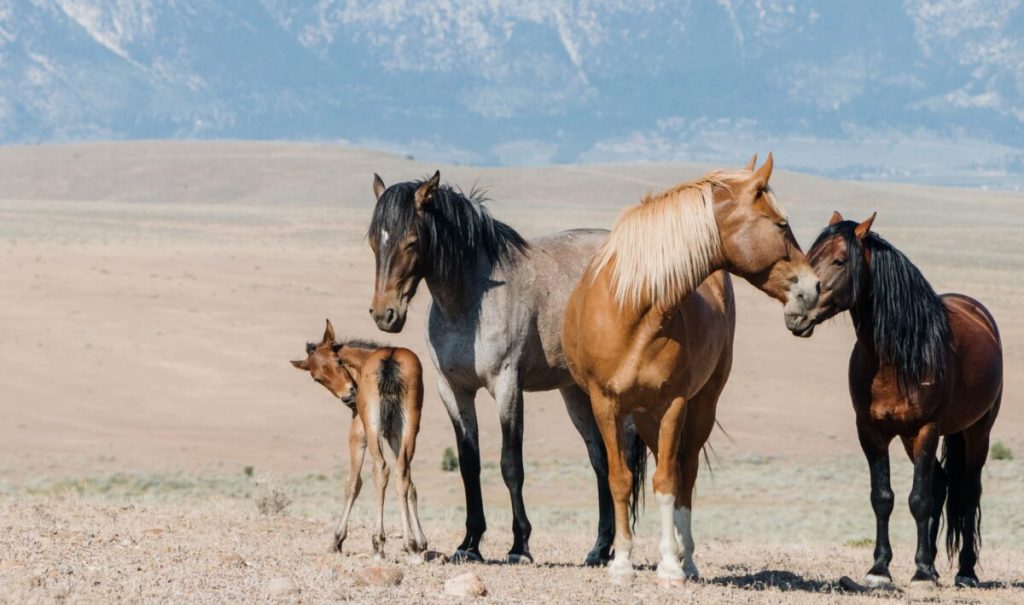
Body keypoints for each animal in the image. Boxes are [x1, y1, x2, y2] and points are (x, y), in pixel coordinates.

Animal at [292, 321, 428, 565]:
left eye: (338, 361)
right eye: (318, 378)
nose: (349, 396)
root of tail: (389, 361)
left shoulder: (358, 433)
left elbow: (353, 484)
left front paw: (337, 540)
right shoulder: (393, 435)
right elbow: (409, 483)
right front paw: (420, 542)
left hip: (372, 428)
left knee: (380, 470)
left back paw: (378, 544)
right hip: (409, 425)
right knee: (400, 473)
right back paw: (410, 546)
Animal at [364, 171, 643, 569]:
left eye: (412, 242)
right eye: (375, 241)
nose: (384, 315)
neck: (468, 304)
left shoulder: (507, 386)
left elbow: (511, 464)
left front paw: (519, 545)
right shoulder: (453, 391)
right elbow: (469, 464)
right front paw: (470, 543)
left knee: (625, 459)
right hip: (574, 392)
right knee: (601, 460)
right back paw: (598, 550)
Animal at [561, 153, 815, 585]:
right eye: (781, 224)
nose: (813, 288)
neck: (634, 311)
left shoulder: (674, 405)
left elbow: (667, 482)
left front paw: (669, 565)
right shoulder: (605, 405)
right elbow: (619, 480)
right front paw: (622, 563)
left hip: (699, 409)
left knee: (686, 473)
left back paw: (688, 559)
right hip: (644, 417)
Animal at [802, 211, 1003, 585]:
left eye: (840, 260)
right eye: (809, 257)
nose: (797, 313)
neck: (894, 358)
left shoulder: (926, 428)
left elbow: (918, 498)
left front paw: (921, 574)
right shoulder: (871, 431)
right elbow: (883, 497)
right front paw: (882, 568)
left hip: (976, 431)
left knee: (967, 492)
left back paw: (965, 571)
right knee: (940, 483)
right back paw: (934, 563)